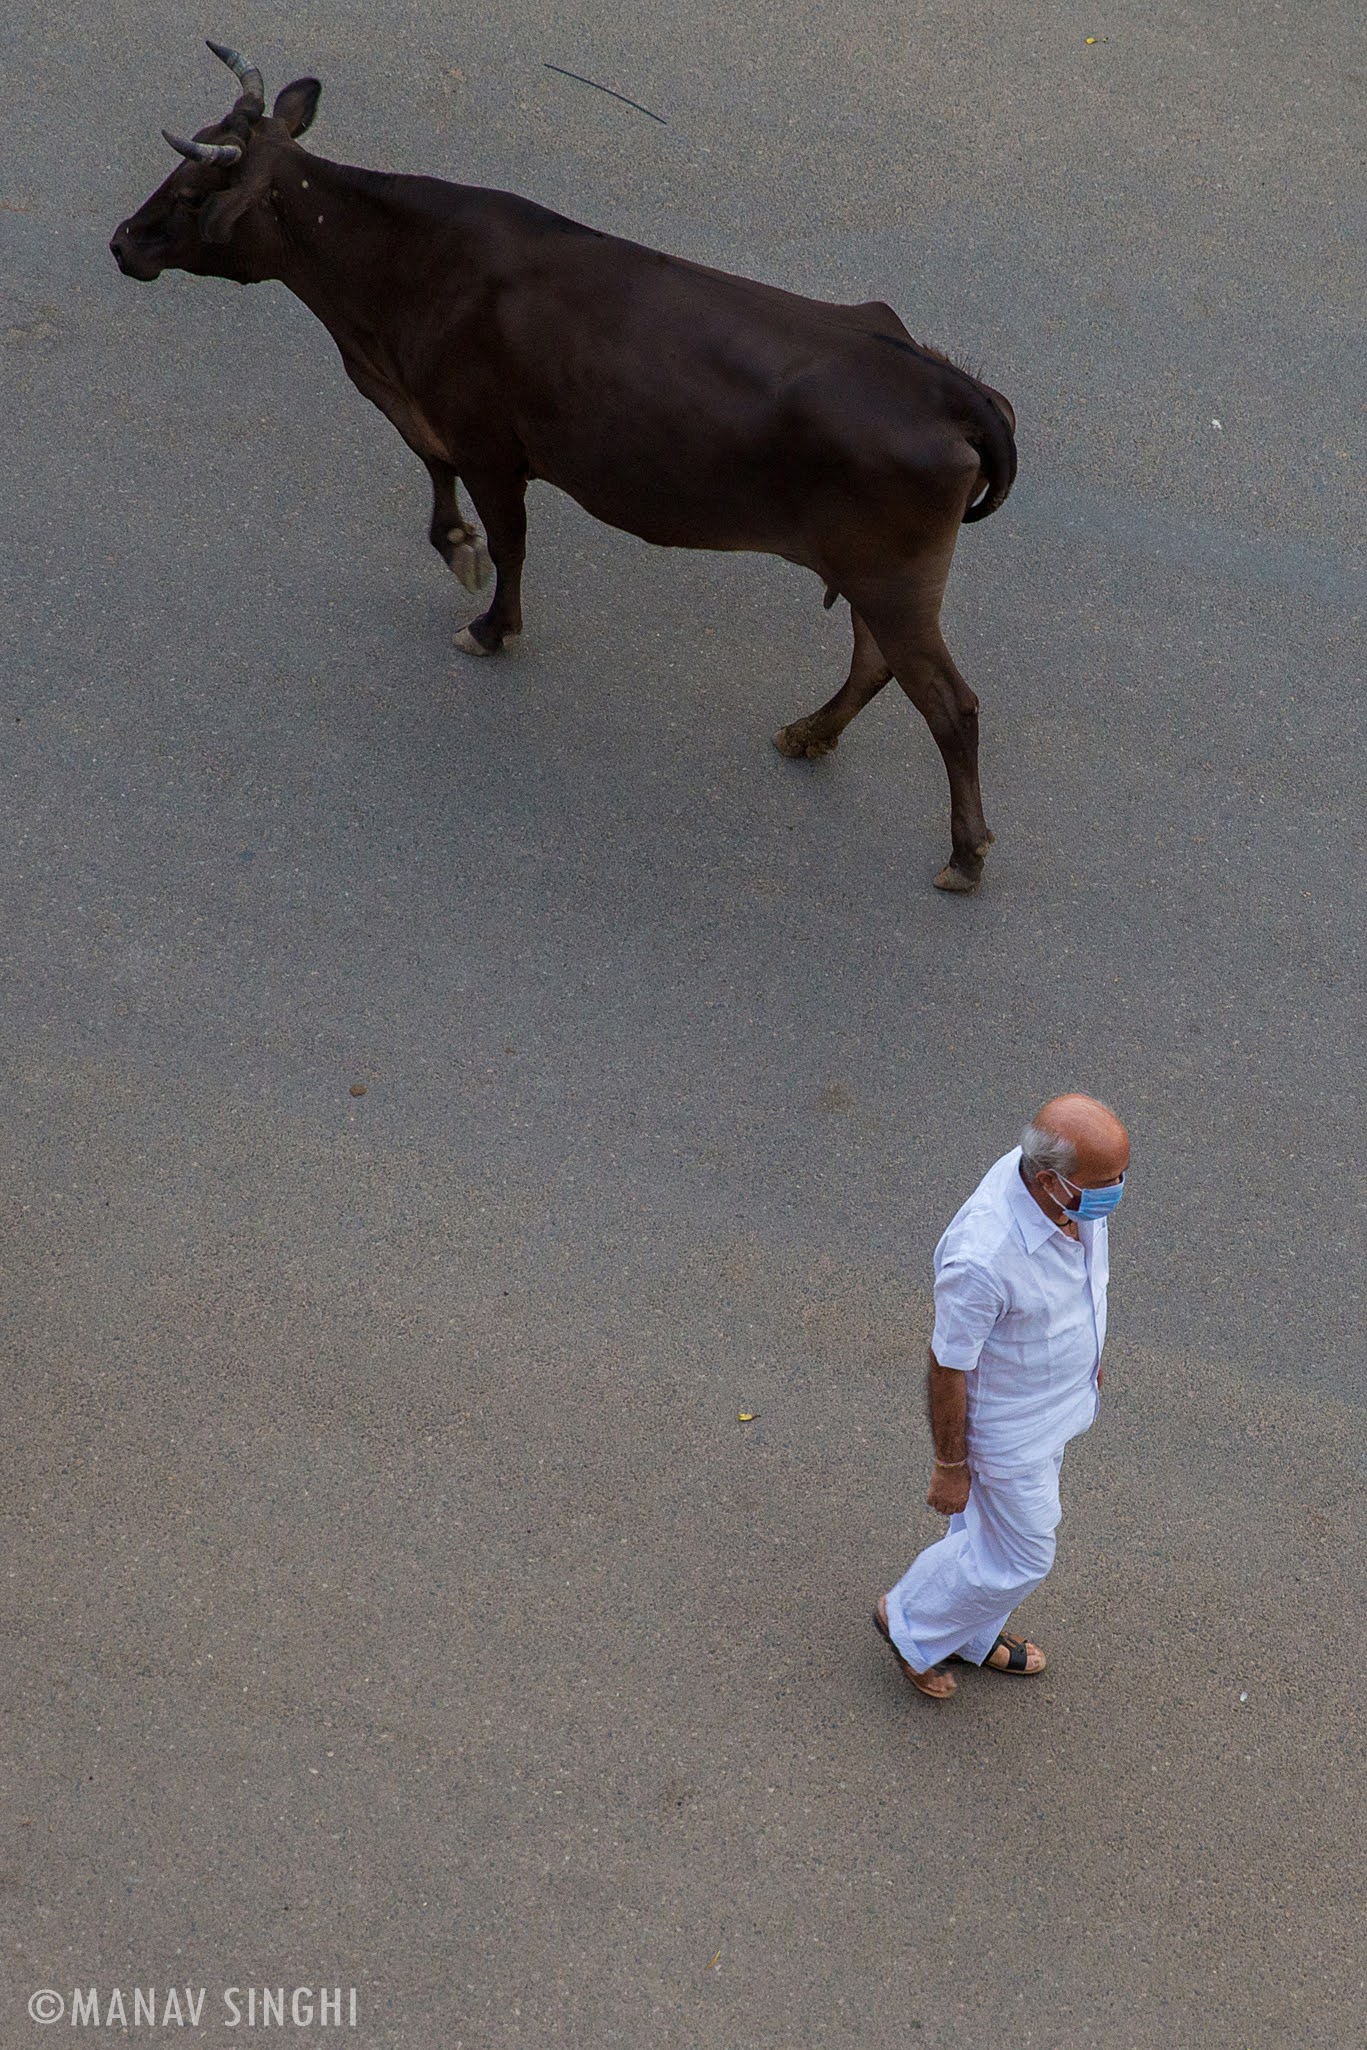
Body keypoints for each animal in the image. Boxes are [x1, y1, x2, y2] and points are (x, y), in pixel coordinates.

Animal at [114, 46, 1016, 889]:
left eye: (193, 195)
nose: (122, 243)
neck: (391, 290)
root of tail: (950, 385)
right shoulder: (441, 421)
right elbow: (438, 478)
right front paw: (457, 549)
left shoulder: (487, 442)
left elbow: (508, 539)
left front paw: (489, 623)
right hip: (875, 578)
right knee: (875, 666)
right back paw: (808, 734)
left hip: (892, 580)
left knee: (949, 704)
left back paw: (964, 854)